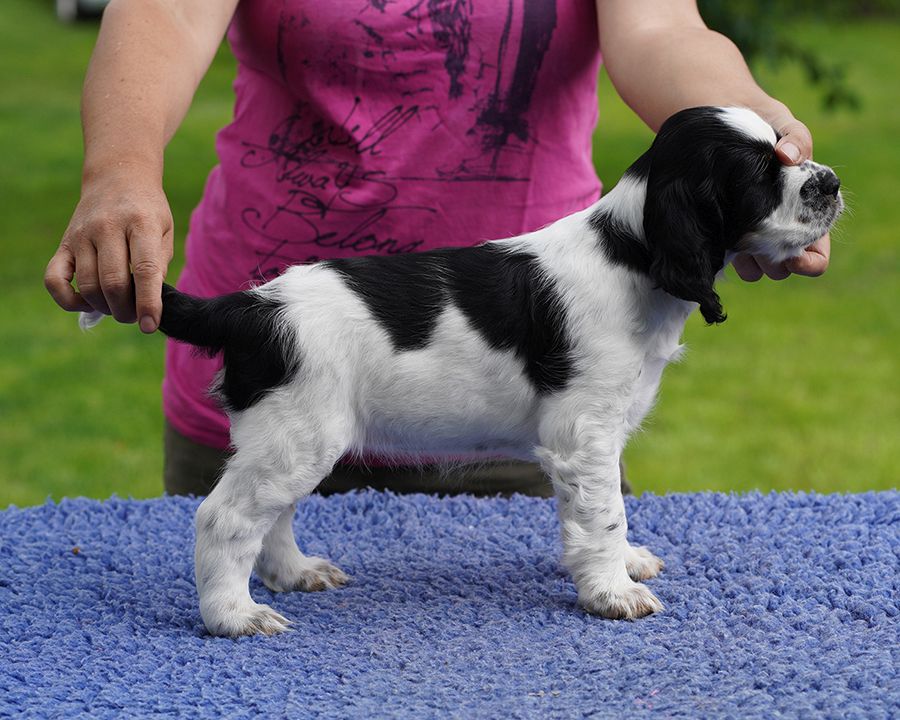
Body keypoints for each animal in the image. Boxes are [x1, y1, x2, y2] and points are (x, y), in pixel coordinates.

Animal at [88, 105, 840, 636]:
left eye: (787, 149)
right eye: (759, 174)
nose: (829, 182)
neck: (630, 253)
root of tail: (251, 307)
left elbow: (607, 513)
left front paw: (623, 566)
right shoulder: (583, 433)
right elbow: (604, 514)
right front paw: (613, 592)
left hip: (289, 436)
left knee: (267, 516)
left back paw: (293, 574)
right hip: (297, 432)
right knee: (222, 519)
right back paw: (232, 616)